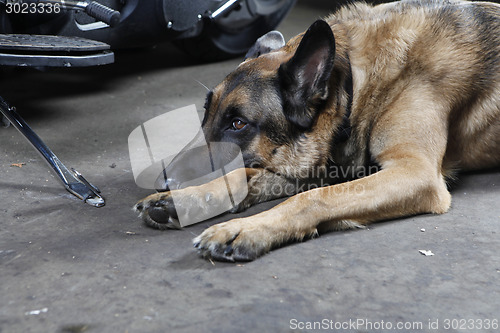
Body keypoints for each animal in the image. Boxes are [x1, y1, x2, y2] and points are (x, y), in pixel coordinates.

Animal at [134, 0, 500, 260]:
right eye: (206, 114)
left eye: (238, 124)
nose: (163, 181)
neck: (355, 80)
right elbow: (246, 176)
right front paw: (185, 199)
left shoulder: (415, 173)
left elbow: (311, 198)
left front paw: (245, 229)